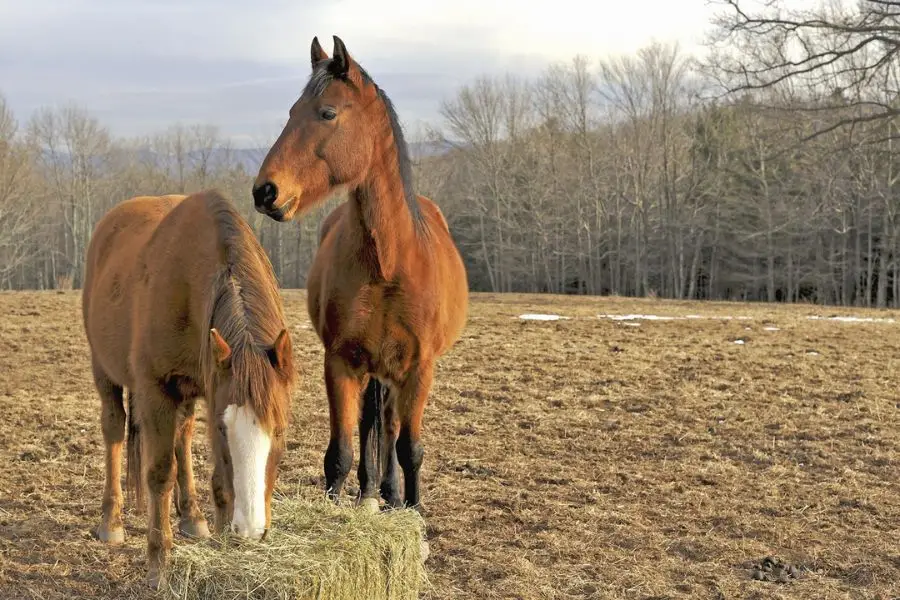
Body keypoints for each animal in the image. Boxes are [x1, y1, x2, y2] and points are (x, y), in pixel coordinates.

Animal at [81, 191, 296, 584]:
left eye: (281, 430)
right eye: (224, 430)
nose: (252, 530)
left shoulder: (210, 387)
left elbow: (220, 481)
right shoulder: (156, 391)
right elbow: (159, 474)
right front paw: (158, 561)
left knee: (182, 435)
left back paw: (192, 517)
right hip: (105, 372)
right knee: (114, 430)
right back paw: (111, 521)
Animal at [250, 35, 468, 510]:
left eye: (327, 113)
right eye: (291, 112)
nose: (265, 191)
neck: (389, 262)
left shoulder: (419, 368)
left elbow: (409, 448)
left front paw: (412, 507)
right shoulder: (340, 362)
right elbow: (341, 452)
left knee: (388, 425)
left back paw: (389, 492)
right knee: (372, 421)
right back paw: (370, 490)